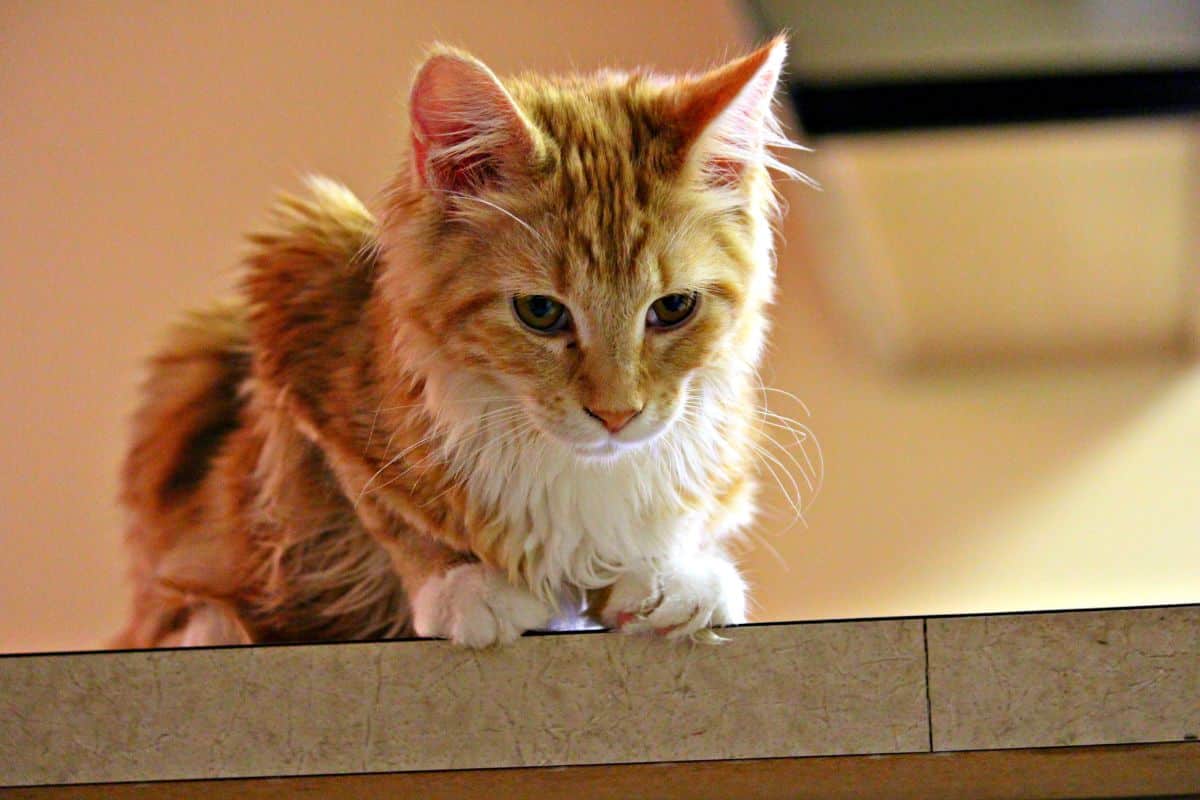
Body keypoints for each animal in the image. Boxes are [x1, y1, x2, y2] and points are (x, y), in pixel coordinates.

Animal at [114, 35, 806, 652]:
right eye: (541, 313)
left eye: (672, 308)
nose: (616, 415)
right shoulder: (297, 308)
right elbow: (388, 514)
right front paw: (467, 584)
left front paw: (673, 577)